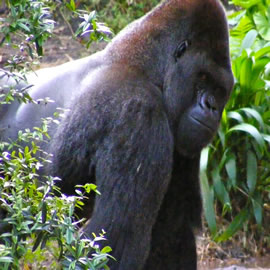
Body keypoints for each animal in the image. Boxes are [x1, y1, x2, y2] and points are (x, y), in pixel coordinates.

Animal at [0, 0, 233, 268]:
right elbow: (116, 240)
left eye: (220, 89)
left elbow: (171, 232)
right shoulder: (138, 112)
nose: (212, 107)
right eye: (202, 77)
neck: (147, 68)